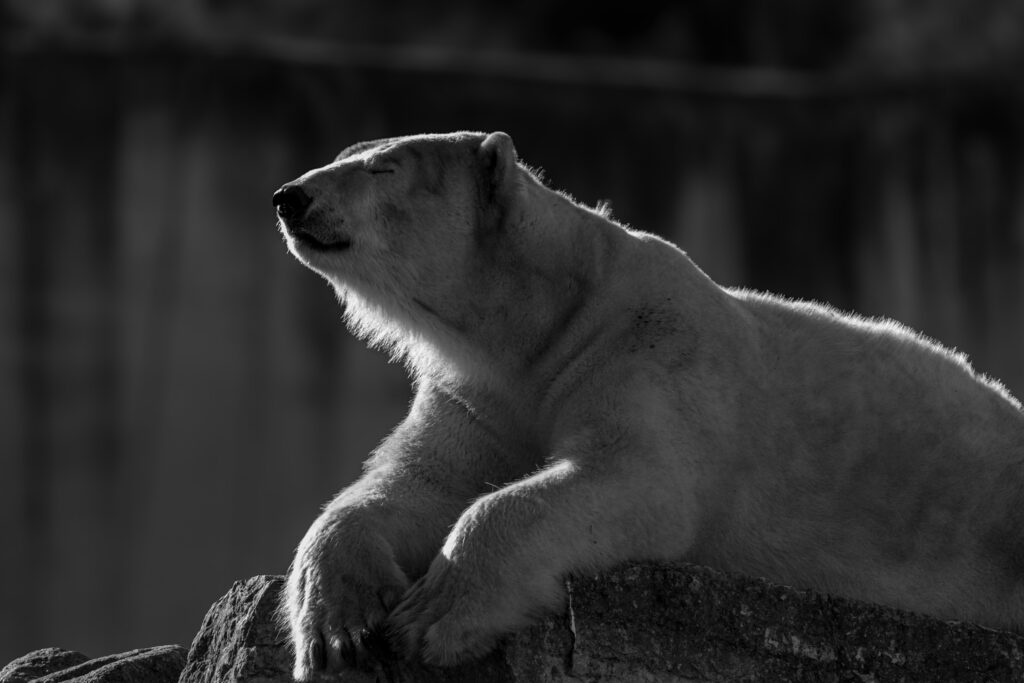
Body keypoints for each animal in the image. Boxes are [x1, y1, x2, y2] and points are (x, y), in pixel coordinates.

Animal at [273, 130, 1024, 678]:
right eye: (347, 153)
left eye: (383, 167)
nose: (290, 196)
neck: (547, 316)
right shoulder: (481, 395)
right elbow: (417, 483)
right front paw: (339, 625)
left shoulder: (649, 347)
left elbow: (634, 478)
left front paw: (431, 616)